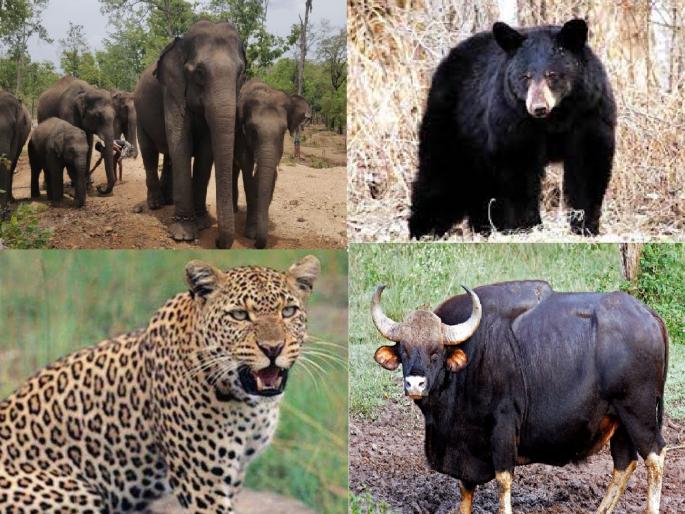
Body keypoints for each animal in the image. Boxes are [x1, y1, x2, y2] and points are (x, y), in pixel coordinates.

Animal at [135, 20, 246, 248]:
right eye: (200, 72)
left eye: (241, 73)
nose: (217, 242)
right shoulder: (172, 90)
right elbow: (181, 142)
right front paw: (184, 234)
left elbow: (205, 151)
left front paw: (202, 223)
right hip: (138, 114)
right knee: (149, 153)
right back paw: (156, 204)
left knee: (168, 156)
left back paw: (168, 200)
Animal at [233, 79, 311, 248]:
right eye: (252, 131)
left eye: (282, 132)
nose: (258, 243)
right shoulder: (240, 136)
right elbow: (248, 174)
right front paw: (250, 234)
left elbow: (270, 176)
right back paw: (234, 210)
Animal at [408, 19, 616, 238]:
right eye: (525, 76)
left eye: (552, 75)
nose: (538, 107)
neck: (556, 118)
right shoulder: (513, 120)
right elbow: (519, 171)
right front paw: (527, 226)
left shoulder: (589, 112)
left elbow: (588, 165)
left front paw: (585, 226)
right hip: (453, 122)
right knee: (441, 172)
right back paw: (424, 229)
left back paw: (485, 226)